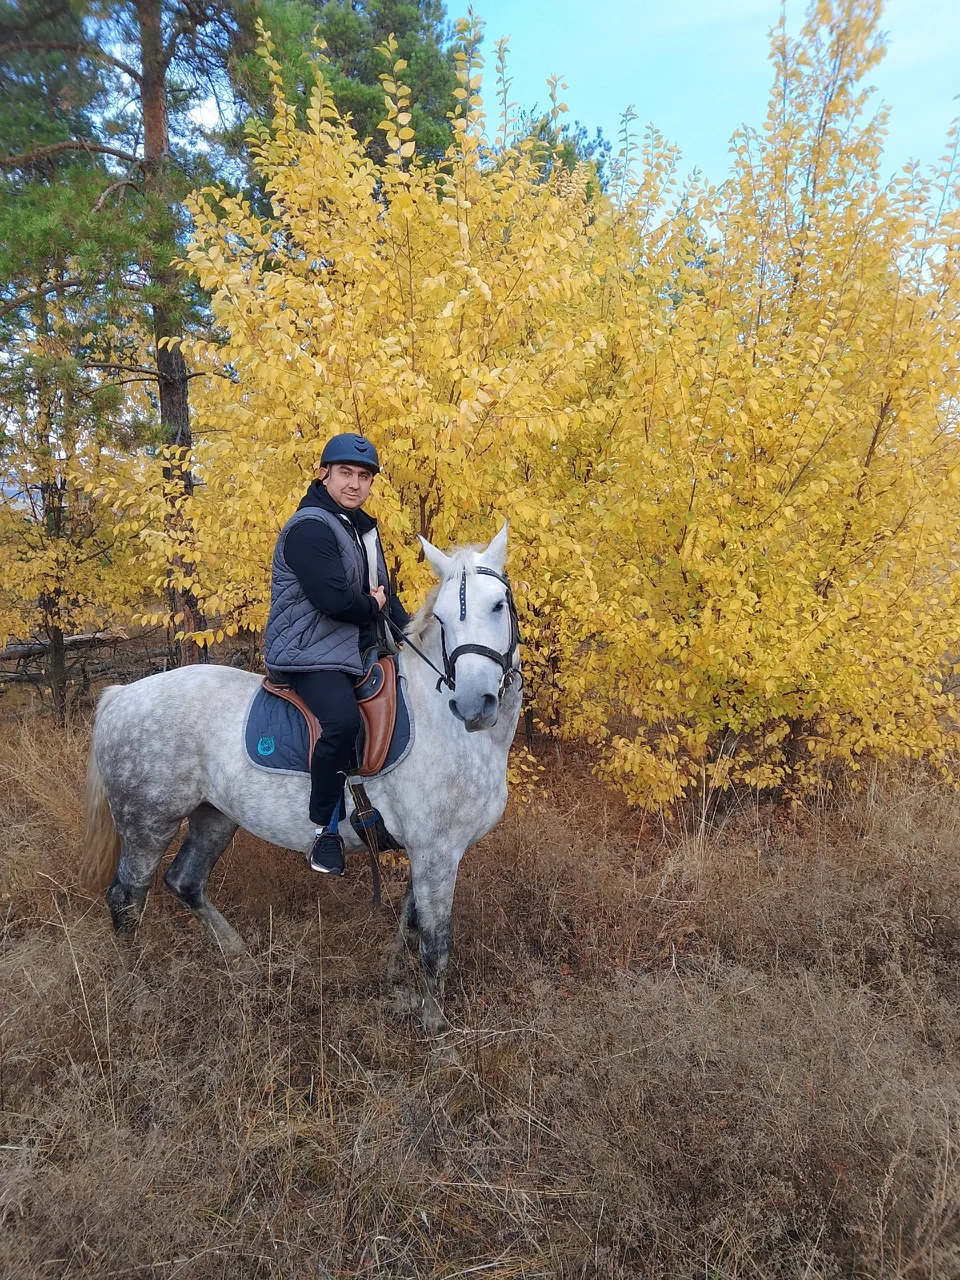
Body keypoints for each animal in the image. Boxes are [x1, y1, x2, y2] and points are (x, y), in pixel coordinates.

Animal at [80, 524, 522, 1034]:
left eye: (498, 604)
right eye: (444, 618)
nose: (473, 705)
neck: (443, 724)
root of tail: (120, 695)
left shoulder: (425, 850)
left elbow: (409, 923)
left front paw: (398, 985)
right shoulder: (437, 851)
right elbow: (434, 943)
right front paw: (435, 1025)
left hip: (215, 816)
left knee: (184, 881)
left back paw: (239, 957)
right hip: (148, 825)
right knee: (126, 900)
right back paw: (140, 995)